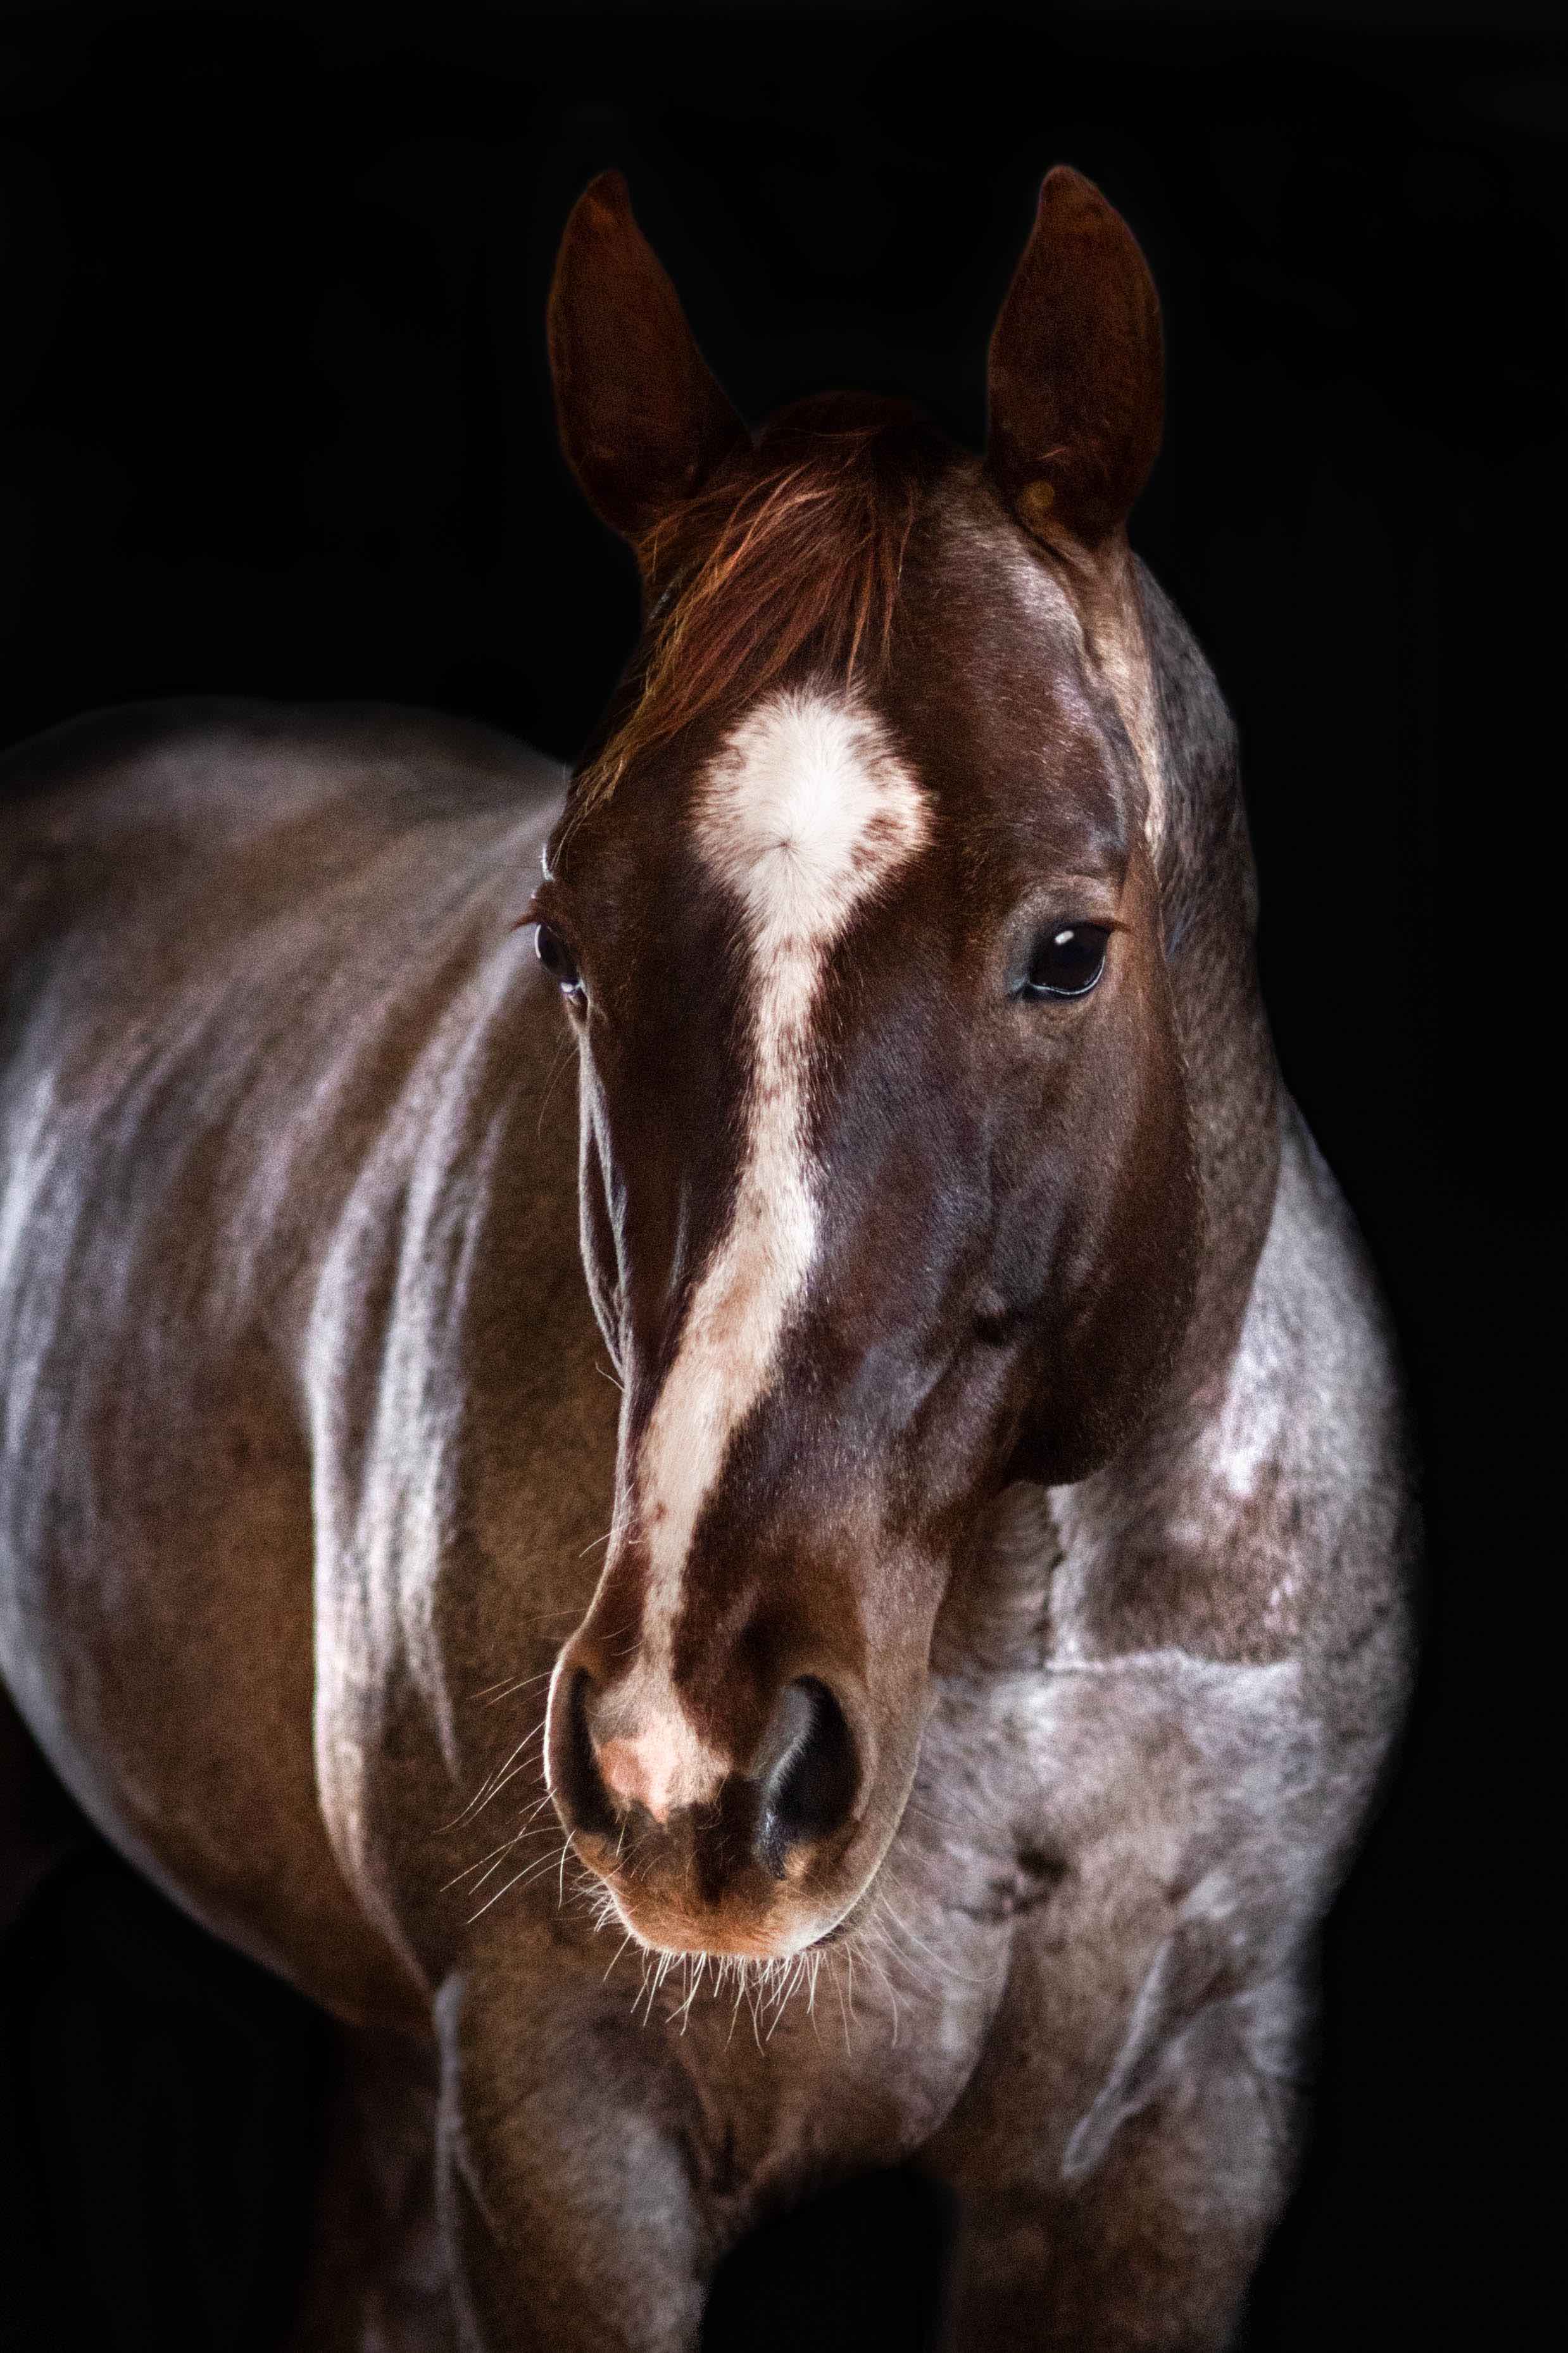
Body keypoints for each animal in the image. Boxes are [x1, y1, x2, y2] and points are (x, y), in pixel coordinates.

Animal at [0, 165, 1415, 2350]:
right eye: (566, 941)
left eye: (1068, 943)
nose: (695, 1756)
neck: (1015, 1632)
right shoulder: (565, 2135)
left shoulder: (1179, 2135)